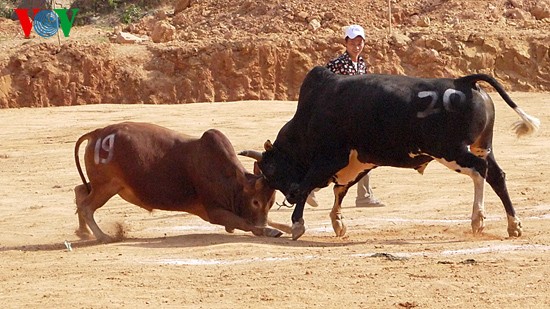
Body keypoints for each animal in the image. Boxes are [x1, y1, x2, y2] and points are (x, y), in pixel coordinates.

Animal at [75, 121, 292, 242]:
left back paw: (83, 232)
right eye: (255, 201)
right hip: (106, 186)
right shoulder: (214, 212)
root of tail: (98, 133)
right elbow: (246, 224)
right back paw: (102, 236)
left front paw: (287, 228)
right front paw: (269, 230)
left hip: (107, 186)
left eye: (270, 203)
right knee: (86, 206)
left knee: (80, 191)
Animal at [240, 66, 540, 239]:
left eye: (271, 170)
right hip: (482, 146)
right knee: (497, 176)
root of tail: (463, 81)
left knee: (480, 171)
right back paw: (513, 225)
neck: (311, 113)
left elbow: (308, 186)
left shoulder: (328, 160)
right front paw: (338, 224)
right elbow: (340, 191)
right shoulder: (355, 164)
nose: (287, 196)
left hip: (451, 151)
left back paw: (478, 219)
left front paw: (298, 224)